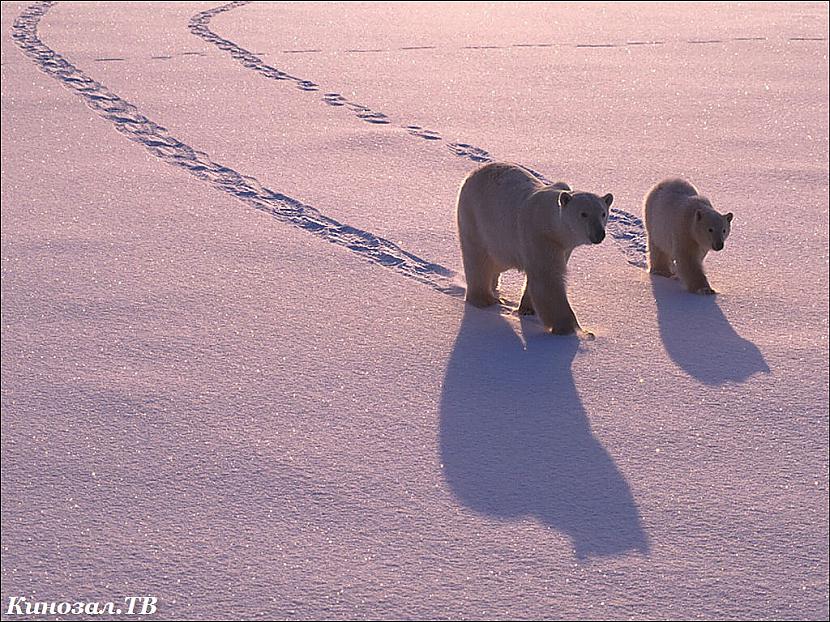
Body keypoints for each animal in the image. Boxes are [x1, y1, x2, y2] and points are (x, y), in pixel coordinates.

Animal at [458, 162, 616, 336]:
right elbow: (548, 278)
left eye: (603, 213)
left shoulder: (564, 246)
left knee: (497, 261)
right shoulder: (540, 235)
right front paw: (569, 328)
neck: (551, 222)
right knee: (478, 257)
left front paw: (528, 309)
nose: (599, 234)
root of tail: (475, 172)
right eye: (584, 214)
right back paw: (484, 299)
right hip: (475, 215)